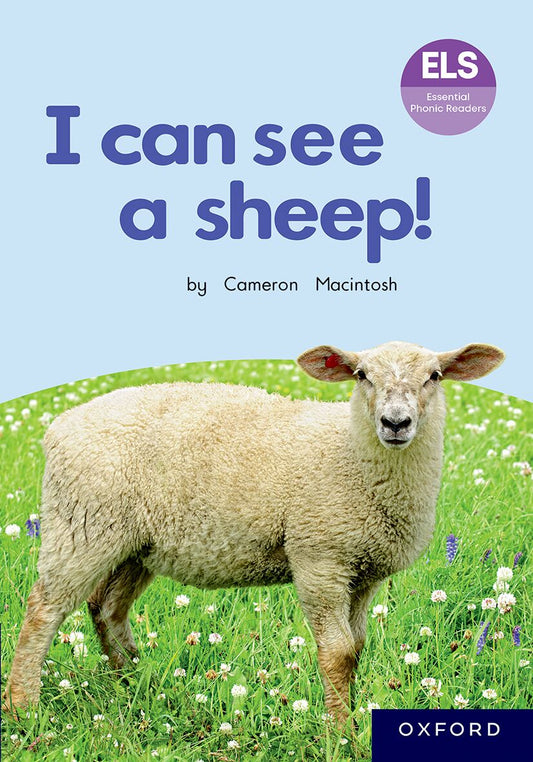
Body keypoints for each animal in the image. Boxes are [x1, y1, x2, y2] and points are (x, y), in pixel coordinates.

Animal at [2, 340, 504, 722]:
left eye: (435, 376)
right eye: (361, 374)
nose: (395, 423)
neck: (351, 456)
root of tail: (59, 425)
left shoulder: (363, 572)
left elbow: (358, 648)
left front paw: (350, 718)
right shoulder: (319, 558)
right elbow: (338, 653)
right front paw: (340, 733)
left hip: (135, 543)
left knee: (107, 609)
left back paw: (136, 682)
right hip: (82, 525)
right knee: (44, 611)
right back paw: (25, 707)